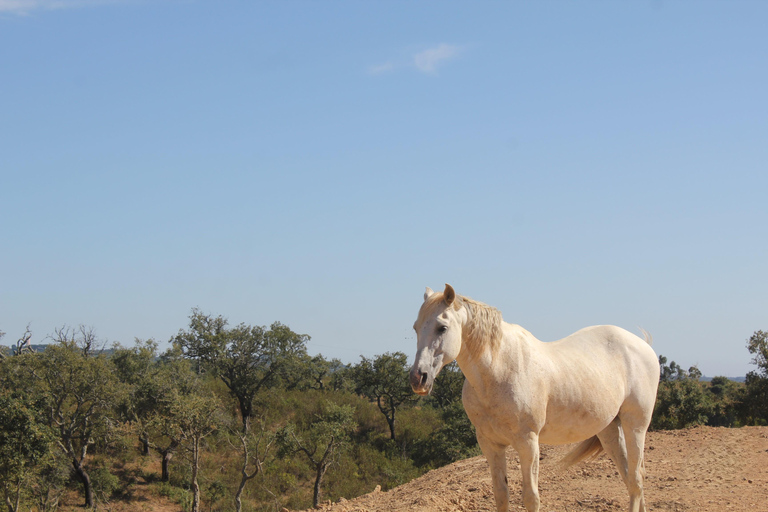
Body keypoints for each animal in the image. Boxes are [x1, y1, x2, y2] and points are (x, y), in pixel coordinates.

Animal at [409, 284, 660, 512]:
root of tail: (643, 345)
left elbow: (531, 497)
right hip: (608, 430)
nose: (418, 378)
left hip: (635, 426)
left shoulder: (528, 442)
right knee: (631, 477)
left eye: (442, 328)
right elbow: (501, 494)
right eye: (415, 328)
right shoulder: (491, 444)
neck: (497, 370)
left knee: (636, 479)